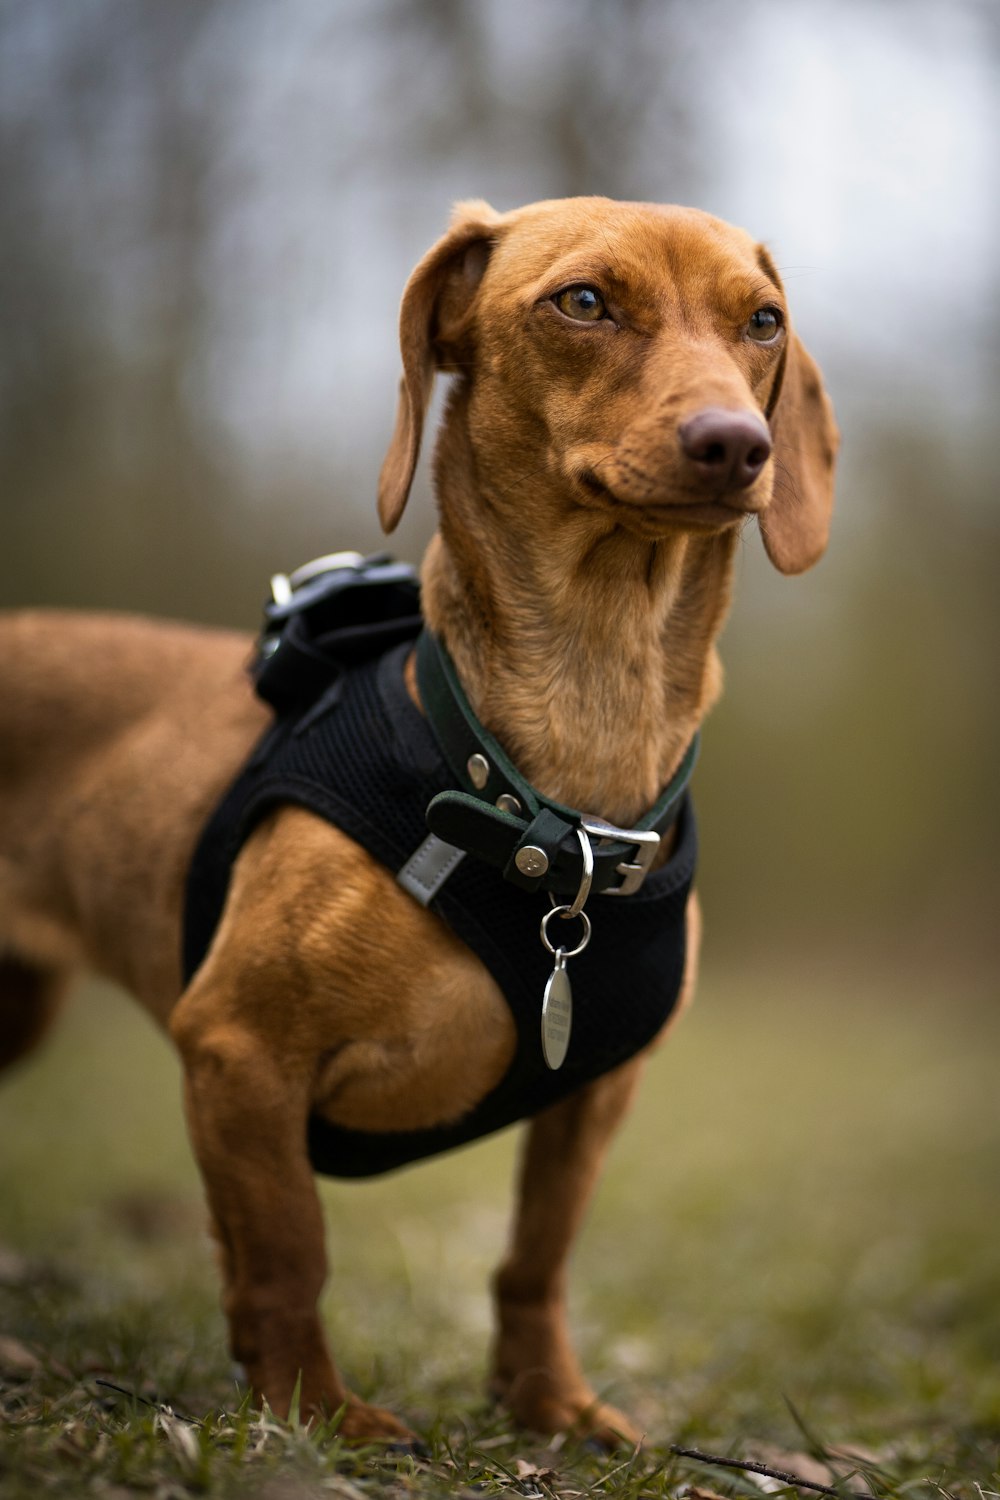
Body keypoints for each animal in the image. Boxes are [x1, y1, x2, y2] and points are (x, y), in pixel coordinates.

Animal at [0, 196, 839, 1440]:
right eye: (582, 302)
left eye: (764, 320)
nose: (738, 444)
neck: (557, 806)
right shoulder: (237, 1052)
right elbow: (287, 1254)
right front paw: (314, 1411)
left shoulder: (593, 1099)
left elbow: (535, 1259)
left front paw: (550, 1405)